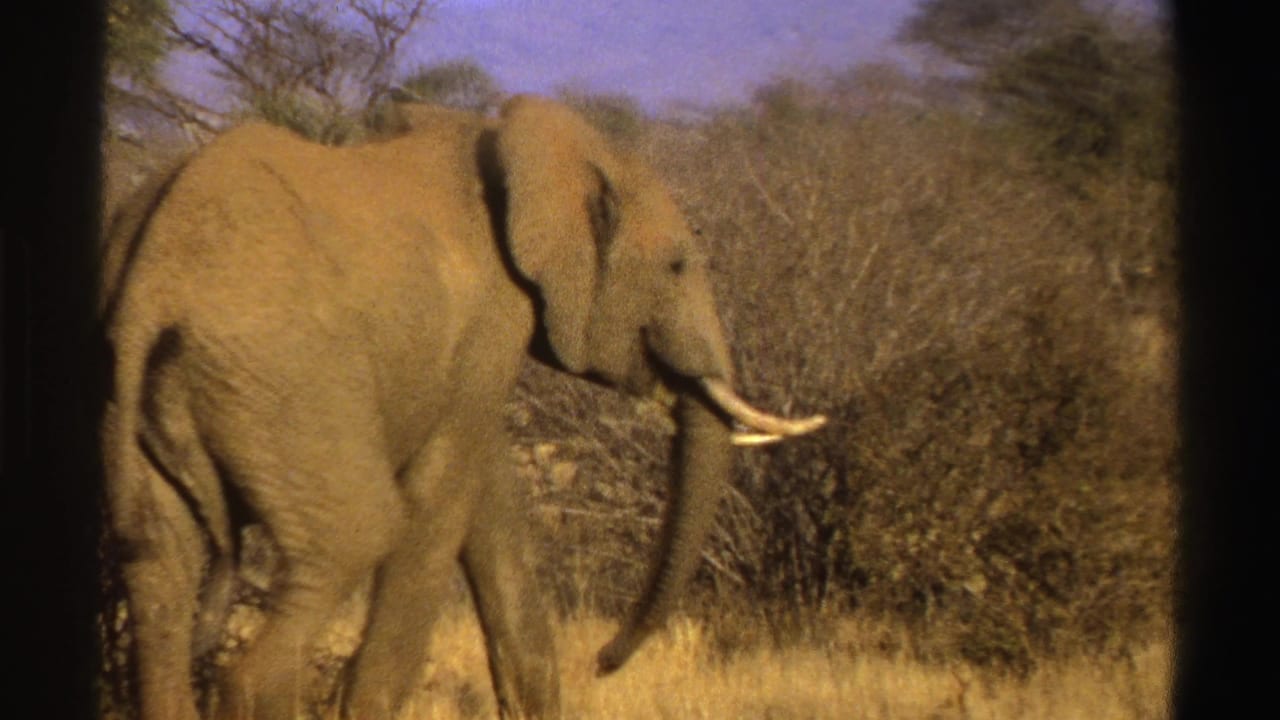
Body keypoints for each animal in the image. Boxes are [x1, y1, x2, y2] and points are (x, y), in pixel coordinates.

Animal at [100, 94, 825, 720]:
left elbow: (488, 494)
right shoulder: (491, 315)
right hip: (285, 381)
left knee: (160, 567)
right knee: (357, 533)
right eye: (677, 265)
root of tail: (149, 286)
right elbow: (440, 494)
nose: (602, 661)